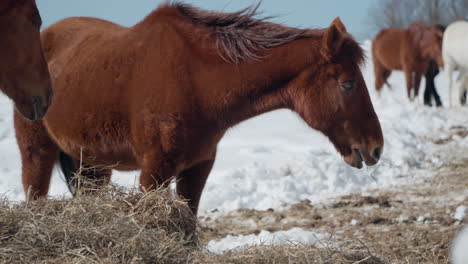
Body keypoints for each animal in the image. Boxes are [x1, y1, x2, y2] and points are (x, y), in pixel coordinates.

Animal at [16, 3, 384, 216]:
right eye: (348, 84)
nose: (376, 148)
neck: (195, 81)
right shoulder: (155, 168)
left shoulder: (198, 167)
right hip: (38, 153)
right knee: (34, 195)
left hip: (91, 165)